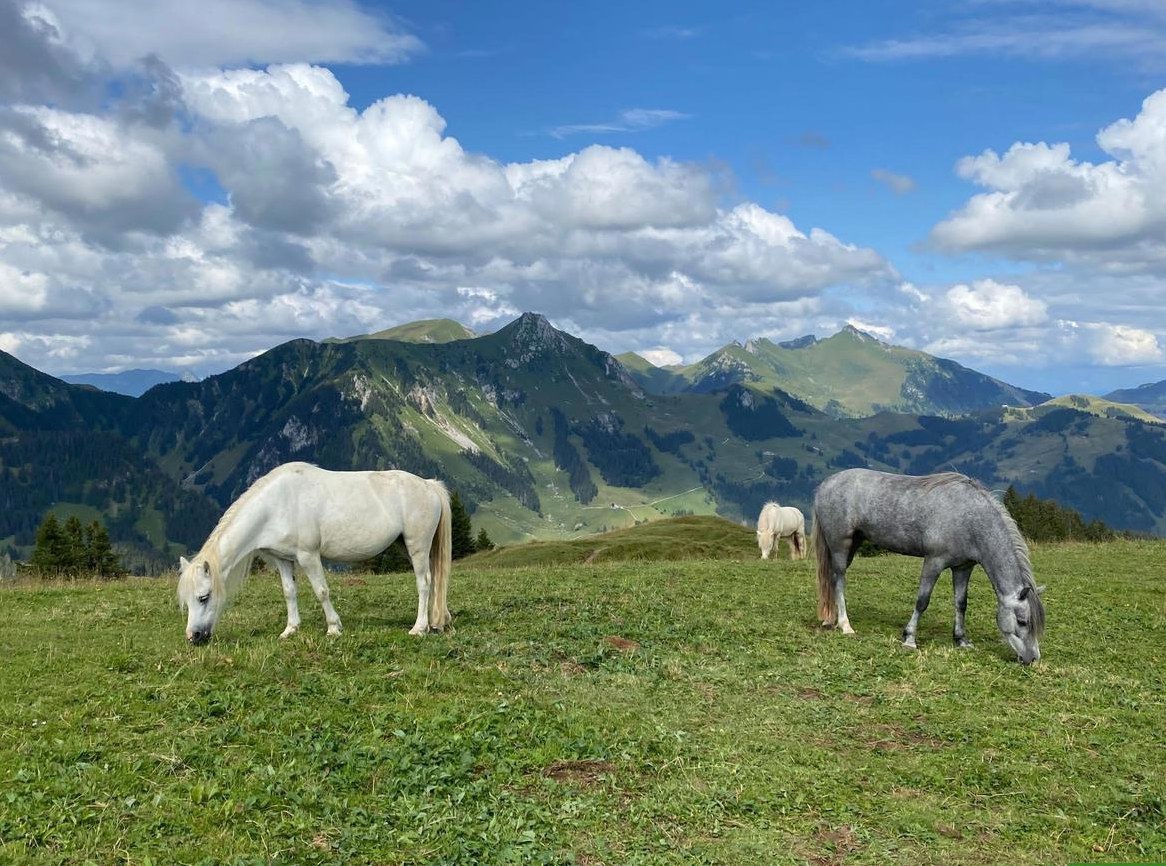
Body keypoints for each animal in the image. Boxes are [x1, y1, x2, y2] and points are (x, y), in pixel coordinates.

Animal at [177, 462, 452, 644]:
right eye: (186, 600)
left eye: (204, 597)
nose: (193, 637)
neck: (276, 504)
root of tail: (429, 485)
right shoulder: (283, 559)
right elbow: (289, 592)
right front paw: (290, 629)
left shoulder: (308, 556)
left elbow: (321, 591)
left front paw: (333, 628)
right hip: (409, 547)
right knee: (435, 579)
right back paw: (440, 621)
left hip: (417, 546)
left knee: (424, 583)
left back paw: (419, 627)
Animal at [810, 468, 1044, 664]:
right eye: (1022, 621)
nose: (1032, 659)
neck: (968, 518)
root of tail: (825, 484)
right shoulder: (934, 562)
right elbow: (922, 601)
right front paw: (909, 639)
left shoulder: (963, 568)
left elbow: (961, 603)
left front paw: (961, 640)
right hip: (840, 545)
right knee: (839, 579)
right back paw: (845, 625)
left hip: (853, 543)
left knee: (831, 580)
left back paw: (830, 620)